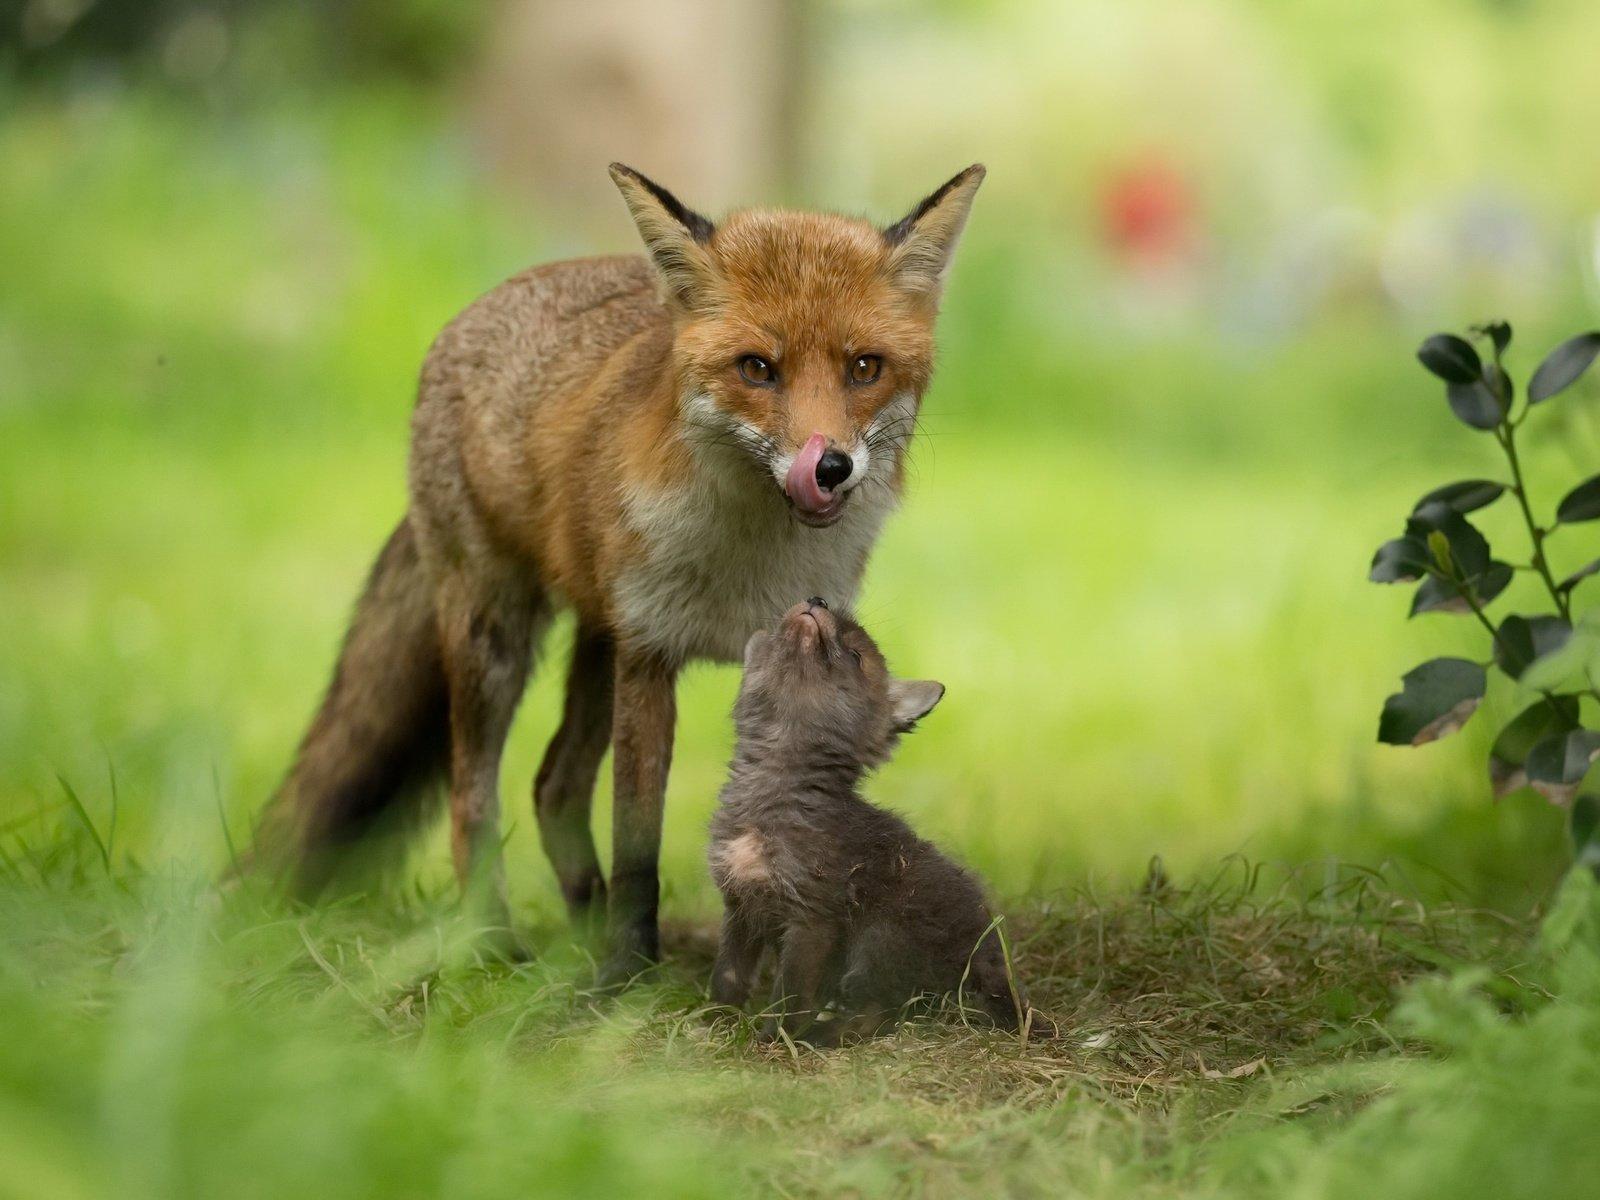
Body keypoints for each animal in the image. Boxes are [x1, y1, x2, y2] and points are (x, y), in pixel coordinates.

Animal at [260, 160, 979, 979]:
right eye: (757, 369)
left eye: (865, 368)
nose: (828, 468)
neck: (752, 558)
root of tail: (474, 311)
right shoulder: (649, 655)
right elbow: (639, 843)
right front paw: (630, 974)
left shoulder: (777, 641)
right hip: (497, 640)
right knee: (475, 799)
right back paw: (494, 942)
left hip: (596, 643)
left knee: (553, 785)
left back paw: (579, 925)